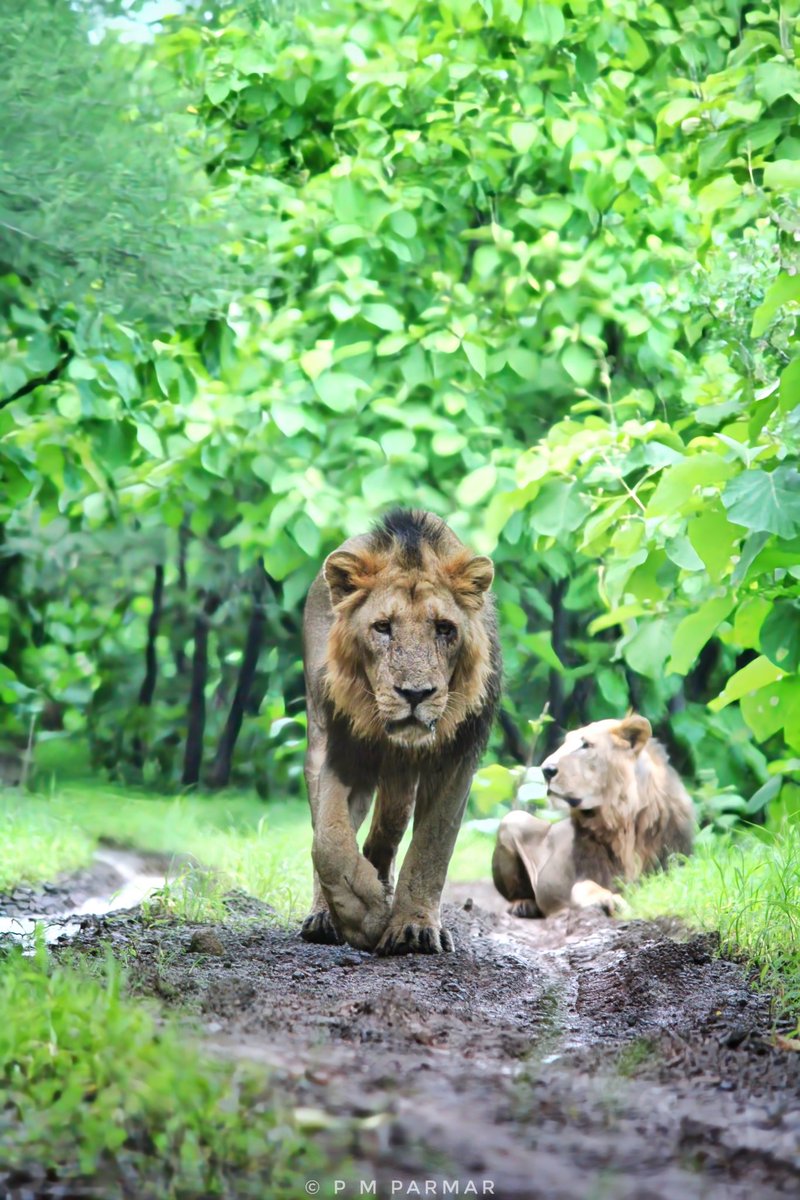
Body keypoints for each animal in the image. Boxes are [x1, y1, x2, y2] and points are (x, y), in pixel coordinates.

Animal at [302, 509, 501, 955]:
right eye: (382, 627)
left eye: (444, 628)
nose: (415, 694)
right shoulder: (343, 752)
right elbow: (329, 842)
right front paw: (365, 915)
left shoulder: (456, 758)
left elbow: (431, 848)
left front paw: (412, 928)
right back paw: (325, 916)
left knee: (387, 831)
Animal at [492, 716, 694, 918]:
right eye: (565, 743)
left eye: (586, 745)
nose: (545, 770)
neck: (621, 819)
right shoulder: (584, 872)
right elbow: (586, 886)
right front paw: (607, 900)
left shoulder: (671, 863)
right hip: (512, 819)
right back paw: (523, 906)